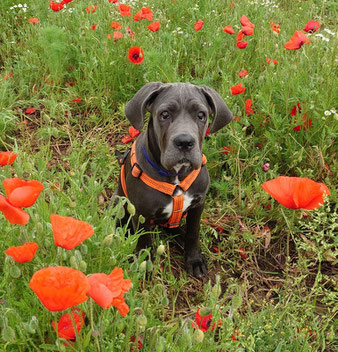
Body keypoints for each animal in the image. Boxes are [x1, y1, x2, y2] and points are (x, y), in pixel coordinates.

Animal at [113, 82, 232, 278]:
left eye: (201, 115)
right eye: (164, 114)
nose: (184, 142)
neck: (176, 175)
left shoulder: (198, 204)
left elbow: (193, 232)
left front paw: (194, 259)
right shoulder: (141, 213)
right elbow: (144, 241)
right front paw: (144, 264)